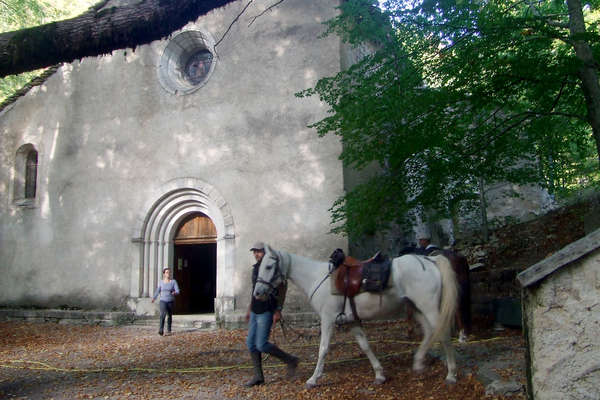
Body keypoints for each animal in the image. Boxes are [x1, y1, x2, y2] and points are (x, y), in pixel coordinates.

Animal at [253, 244, 460, 388]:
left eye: (269, 266)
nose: (257, 292)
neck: (317, 278)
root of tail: (430, 262)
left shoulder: (328, 320)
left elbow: (323, 349)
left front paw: (313, 379)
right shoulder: (352, 321)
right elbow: (365, 346)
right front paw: (379, 375)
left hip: (429, 307)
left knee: (443, 333)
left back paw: (451, 374)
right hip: (416, 308)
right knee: (430, 332)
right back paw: (418, 363)